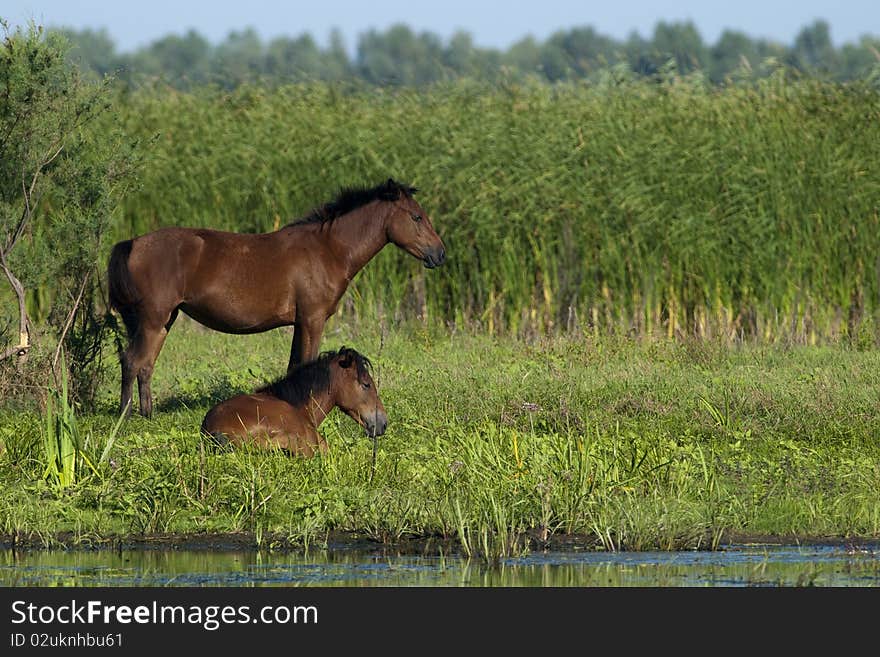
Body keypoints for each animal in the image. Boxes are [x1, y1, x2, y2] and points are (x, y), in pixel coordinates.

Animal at [106, 177, 444, 418]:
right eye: (416, 217)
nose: (439, 254)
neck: (327, 250)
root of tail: (133, 243)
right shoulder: (312, 320)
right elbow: (305, 363)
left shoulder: (299, 323)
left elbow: (294, 364)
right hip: (153, 319)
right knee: (132, 361)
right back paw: (126, 416)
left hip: (163, 321)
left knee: (145, 365)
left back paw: (148, 414)